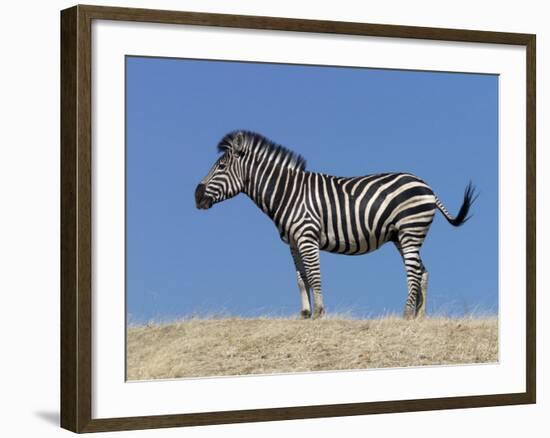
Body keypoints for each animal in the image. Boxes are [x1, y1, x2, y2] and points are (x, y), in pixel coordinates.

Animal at [196, 129, 476, 318]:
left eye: (221, 166)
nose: (196, 196)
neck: (287, 193)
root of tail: (427, 187)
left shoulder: (308, 236)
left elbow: (314, 275)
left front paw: (320, 312)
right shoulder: (293, 243)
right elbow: (301, 278)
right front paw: (305, 314)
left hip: (410, 230)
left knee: (414, 272)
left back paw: (406, 315)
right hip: (402, 236)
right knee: (423, 272)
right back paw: (420, 317)